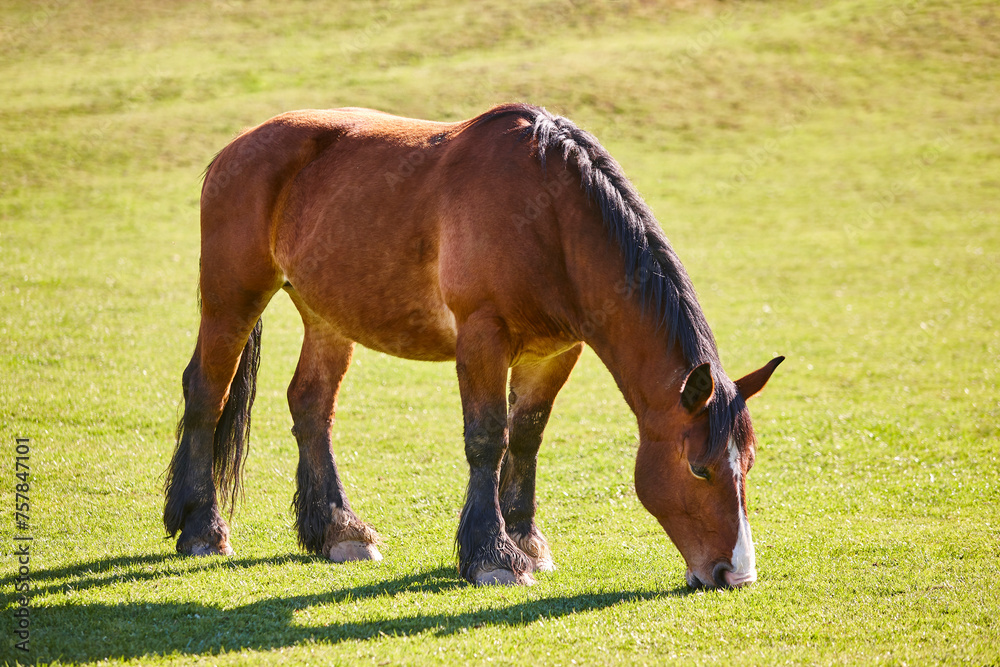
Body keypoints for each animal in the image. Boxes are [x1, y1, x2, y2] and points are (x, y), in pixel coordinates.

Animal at [163, 103, 783, 588]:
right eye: (699, 468)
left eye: (747, 463)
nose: (735, 574)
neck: (551, 219)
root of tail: (236, 148)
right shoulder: (483, 337)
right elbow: (488, 438)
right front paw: (493, 554)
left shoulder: (554, 353)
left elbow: (526, 439)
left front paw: (525, 539)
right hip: (232, 299)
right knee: (207, 395)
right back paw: (202, 529)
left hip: (326, 316)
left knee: (311, 406)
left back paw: (339, 530)